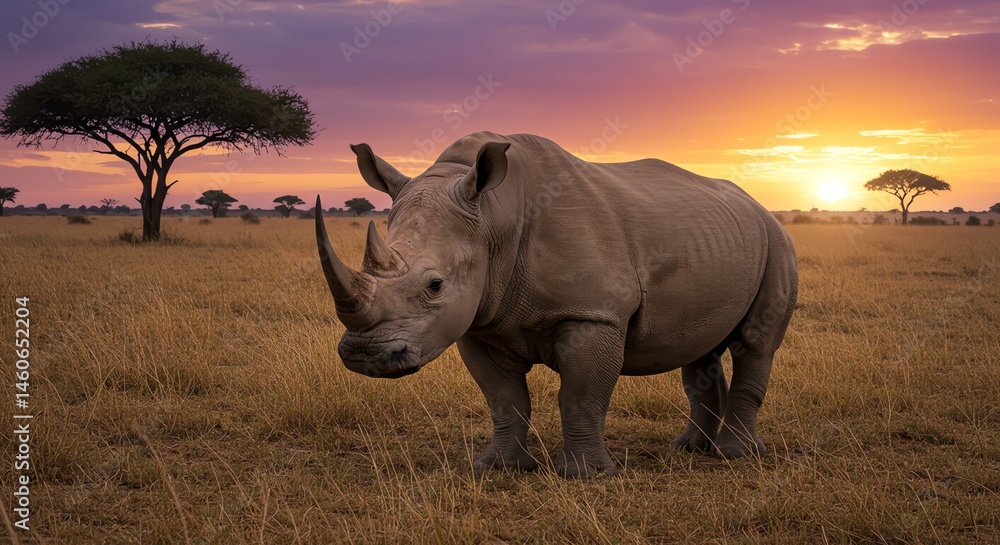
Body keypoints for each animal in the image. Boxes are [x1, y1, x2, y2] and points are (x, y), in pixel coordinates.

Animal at [316, 131, 797, 478]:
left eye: (435, 285)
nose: (364, 355)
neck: (492, 215)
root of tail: (757, 203)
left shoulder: (592, 314)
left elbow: (580, 395)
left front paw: (585, 475)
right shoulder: (479, 321)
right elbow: (504, 398)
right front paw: (499, 468)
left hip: (775, 240)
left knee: (755, 344)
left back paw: (737, 456)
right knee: (699, 350)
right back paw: (688, 449)